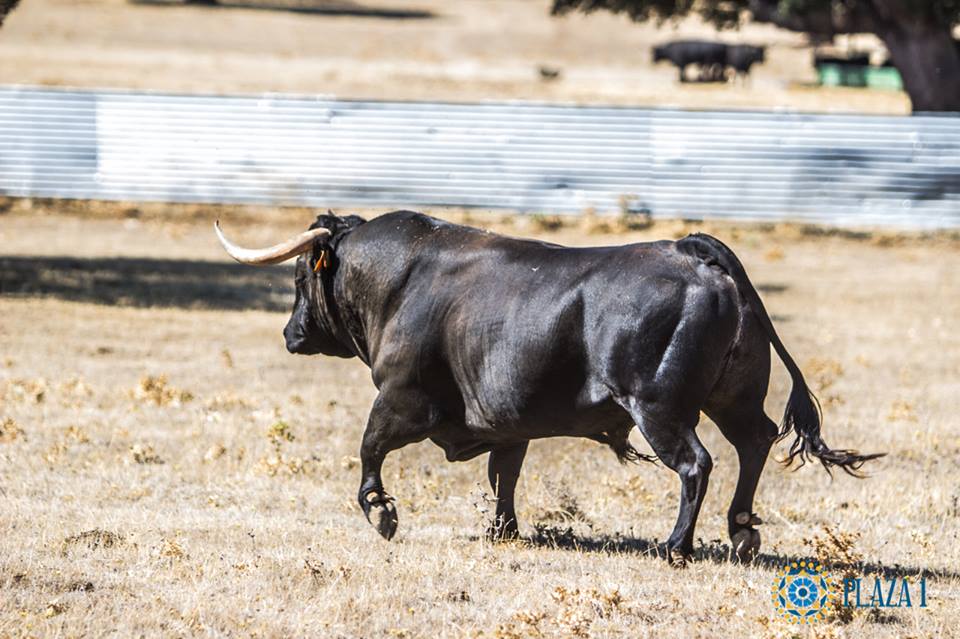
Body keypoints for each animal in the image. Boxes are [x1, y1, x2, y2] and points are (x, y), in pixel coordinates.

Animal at [218, 211, 884, 564]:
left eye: (301, 276)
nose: (291, 333)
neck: (402, 280)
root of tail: (692, 250)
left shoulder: (403, 398)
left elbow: (369, 447)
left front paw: (381, 511)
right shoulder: (508, 420)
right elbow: (504, 475)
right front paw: (503, 531)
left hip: (660, 407)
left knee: (697, 464)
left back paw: (676, 545)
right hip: (733, 398)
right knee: (755, 442)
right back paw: (741, 530)